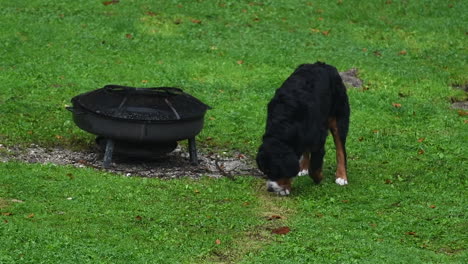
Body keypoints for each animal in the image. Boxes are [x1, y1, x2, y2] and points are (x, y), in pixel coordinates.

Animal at [256, 62, 352, 196]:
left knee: (340, 150)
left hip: (339, 118)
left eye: (275, 171)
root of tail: (323, 64)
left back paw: (341, 176)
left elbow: (314, 167)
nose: (270, 188)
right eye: (266, 171)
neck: (286, 123)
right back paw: (303, 167)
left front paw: (318, 178)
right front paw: (286, 187)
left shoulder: (318, 140)